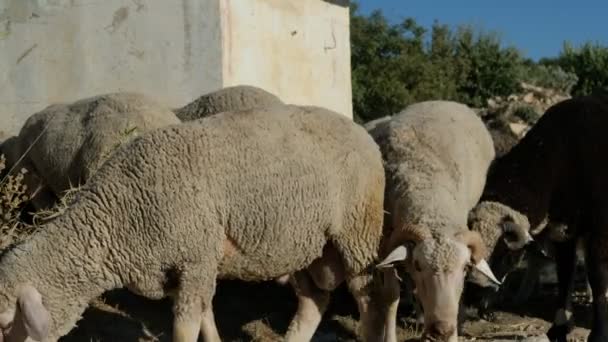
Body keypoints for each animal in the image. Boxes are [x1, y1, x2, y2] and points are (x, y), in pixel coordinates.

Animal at [368, 99, 502, 342]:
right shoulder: (385, 245)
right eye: (418, 265)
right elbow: (391, 296)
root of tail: (440, 101)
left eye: (466, 268)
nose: (442, 330)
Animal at [470, 93, 608, 342]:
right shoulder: (564, 231)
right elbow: (565, 274)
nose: (475, 298)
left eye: (504, 254)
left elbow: (598, 278)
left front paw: (599, 334)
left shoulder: (599, 232)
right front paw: (559, 327)